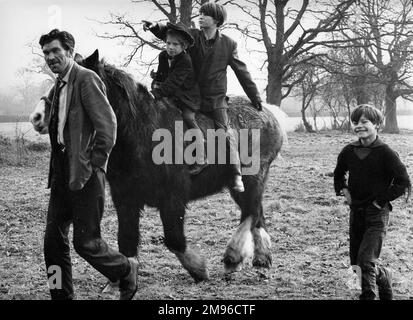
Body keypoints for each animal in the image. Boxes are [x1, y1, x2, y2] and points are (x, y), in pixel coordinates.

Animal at [30, 50, 284, 282]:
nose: (37, 117)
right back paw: (260, 257)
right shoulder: (125, 199)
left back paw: (234, 256)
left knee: (252, 211)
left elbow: (174, 239)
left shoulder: (172, 199)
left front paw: (198, 269)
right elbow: (127, 239)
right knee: (256, 214)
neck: (143, 132)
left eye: (76, 85)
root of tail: (269, 113)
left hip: (252, 178)